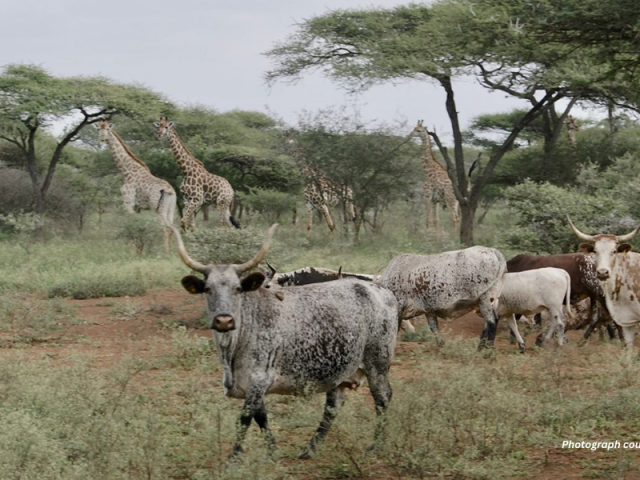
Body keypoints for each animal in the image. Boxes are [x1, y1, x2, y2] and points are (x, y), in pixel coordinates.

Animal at [173, 224, 400, 458]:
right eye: (208, 289)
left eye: (238, 289)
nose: (224, 321)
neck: (233, 346)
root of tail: (381, 290)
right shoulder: (250, 385)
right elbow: (261, 417)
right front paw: (273, 452)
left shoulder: (259, 380)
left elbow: (244, 419)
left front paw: (234, 458)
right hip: (341, 370)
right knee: (333, 405)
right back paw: (310, 449)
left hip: (377, 364)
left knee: (382, 398)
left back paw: (375, 446)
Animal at [376, 246, 506, 349]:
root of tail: (492, 251)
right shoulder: (428, 310)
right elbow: (434, 327)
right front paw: (441, 344)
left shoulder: (400, 307)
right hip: (486, 302)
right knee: (488, 323)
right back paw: (480, 347)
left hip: (485, 300)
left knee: (492, 322)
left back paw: (487, 349)